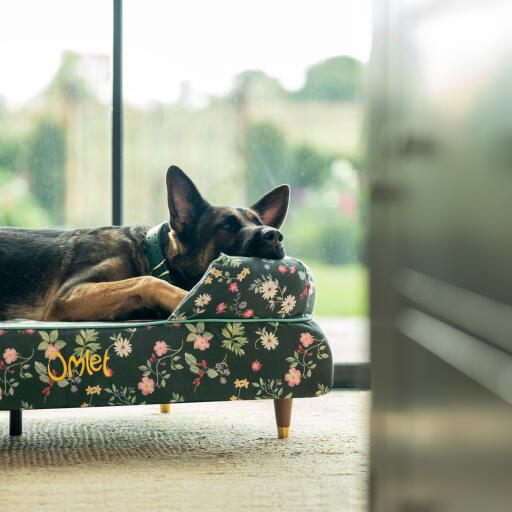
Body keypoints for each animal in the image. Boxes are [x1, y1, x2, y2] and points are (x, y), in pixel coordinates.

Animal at [0, 166, 288, 322]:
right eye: (227, 226)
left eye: (256, 222)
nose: (275, 235)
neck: (152, 255)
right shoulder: (67, 297)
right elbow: (148, 281)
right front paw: (186, 298)